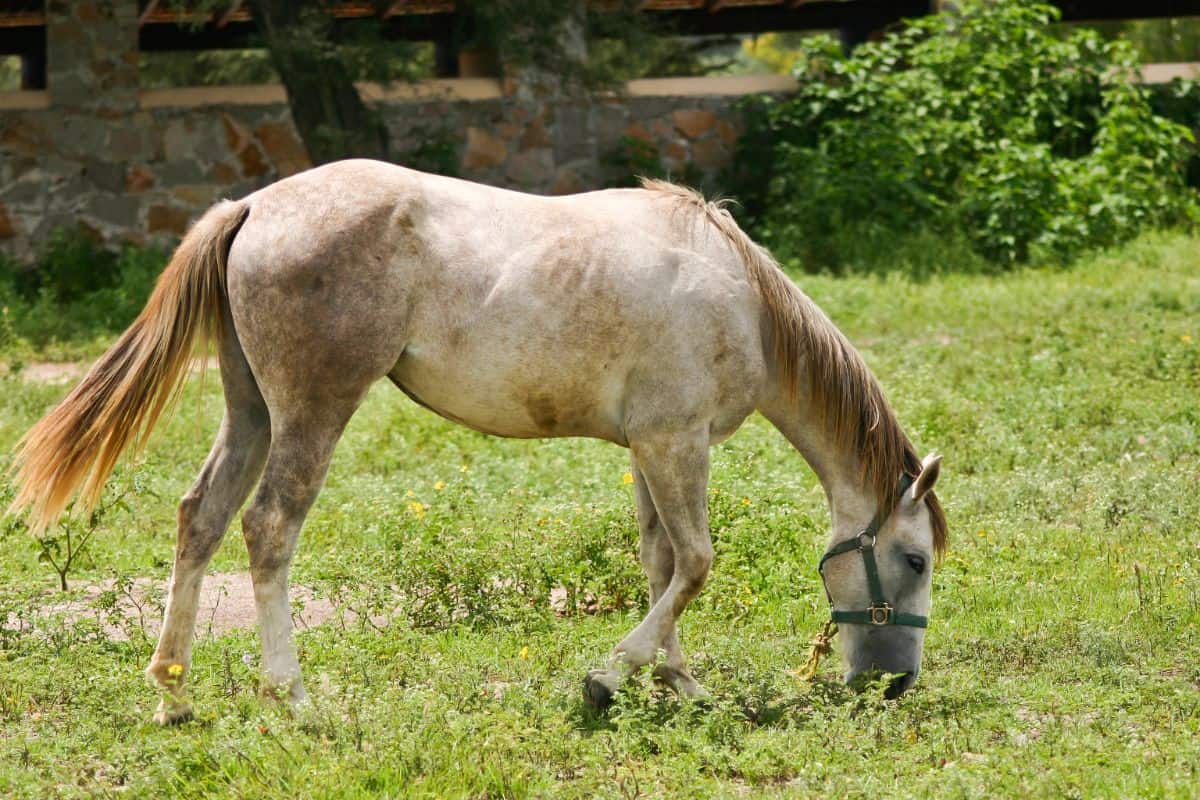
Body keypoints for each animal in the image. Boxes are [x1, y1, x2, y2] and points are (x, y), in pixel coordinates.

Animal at [9, 159, 945, 724]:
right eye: (915, 559)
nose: (895, 683)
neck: (740, 297)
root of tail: (253, 207)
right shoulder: (680, 444)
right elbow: (696, 565)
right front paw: (609, 680)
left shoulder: (650, 449)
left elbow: (661, 567)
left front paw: (676, 685)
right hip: (312, 413)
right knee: (268, 527)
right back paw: (293, 696)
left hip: (252, 413)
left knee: (200, 518)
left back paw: (172, 694)